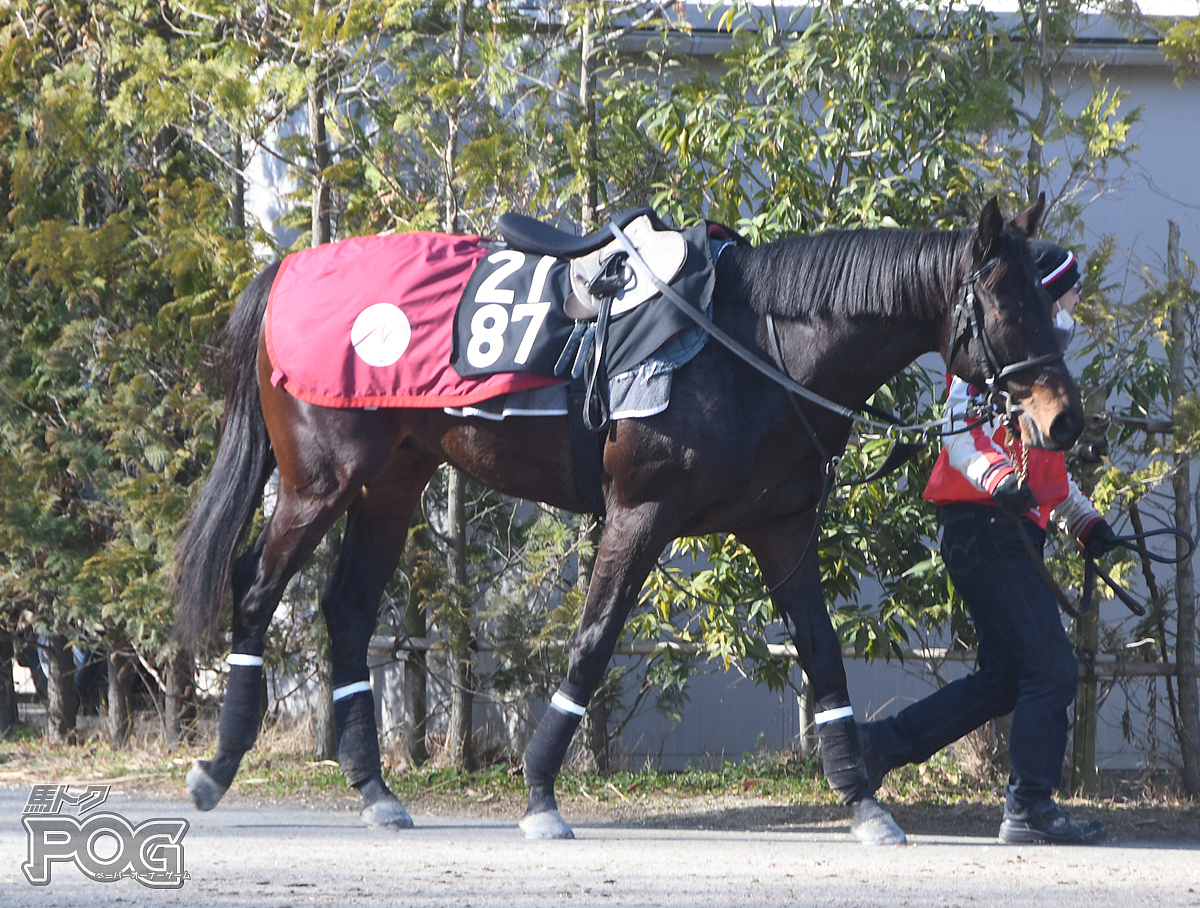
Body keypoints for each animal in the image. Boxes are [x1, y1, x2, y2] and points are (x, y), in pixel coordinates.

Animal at [174, 194, 1084, 844]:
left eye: (1050, 307)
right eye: (1009, 308)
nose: (1065, 421)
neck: (757, 349)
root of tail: (289, 268)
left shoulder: (783, 529)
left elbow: (824, 657)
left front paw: (862, 799)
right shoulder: (638, 516)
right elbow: (593, 640)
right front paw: (541, 791)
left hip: (391, 484)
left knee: (348, 612)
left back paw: (372, 788)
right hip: (318, 485)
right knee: (255, 592)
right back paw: (218, 767)